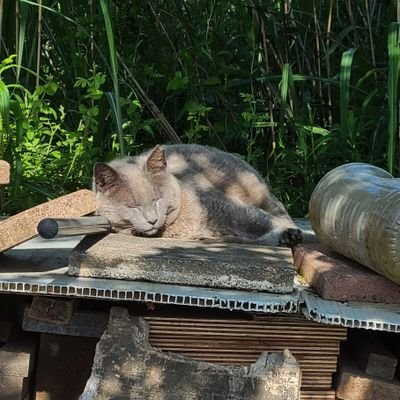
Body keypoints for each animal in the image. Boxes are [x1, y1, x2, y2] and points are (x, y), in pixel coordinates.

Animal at [92, 142, 302, 245]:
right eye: (134, 207)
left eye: (157, 199)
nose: (152, 220)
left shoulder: (224, 206)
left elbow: (262, 220)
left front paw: (287, 234)